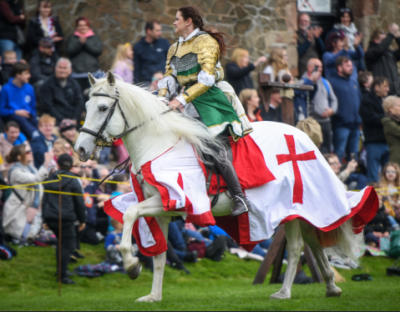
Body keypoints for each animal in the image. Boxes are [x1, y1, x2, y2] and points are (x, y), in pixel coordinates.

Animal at [73, 72, 360, 302]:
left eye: (102, 107)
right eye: (85, 105)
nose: (81, 149)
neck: (158, 144)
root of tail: (302, 137)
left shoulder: (172, 201)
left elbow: (130, 215)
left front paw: (132, 265)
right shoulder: (163, 210)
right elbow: (160, 256)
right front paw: (153, 296)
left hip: (291, 207)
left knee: (298, 246)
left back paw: (285, 292)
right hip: (297, 209)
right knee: (312, 240)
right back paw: (330, 286)